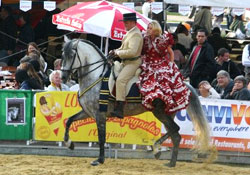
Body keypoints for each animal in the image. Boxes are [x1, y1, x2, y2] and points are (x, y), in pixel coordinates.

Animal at [60, 37, 215, 167]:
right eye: (62, 54)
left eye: (71, 55)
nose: (62, 77)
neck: (95, 77)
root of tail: (182, 85)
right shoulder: (87, 112)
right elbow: (69, 121)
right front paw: (69, 144)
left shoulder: (100, 115)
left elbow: (101, 137)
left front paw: (99, 160)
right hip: (167, 114)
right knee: (174, 133)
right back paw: (163, 156)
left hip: (160, 112)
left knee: (175, 132)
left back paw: (164, 157)